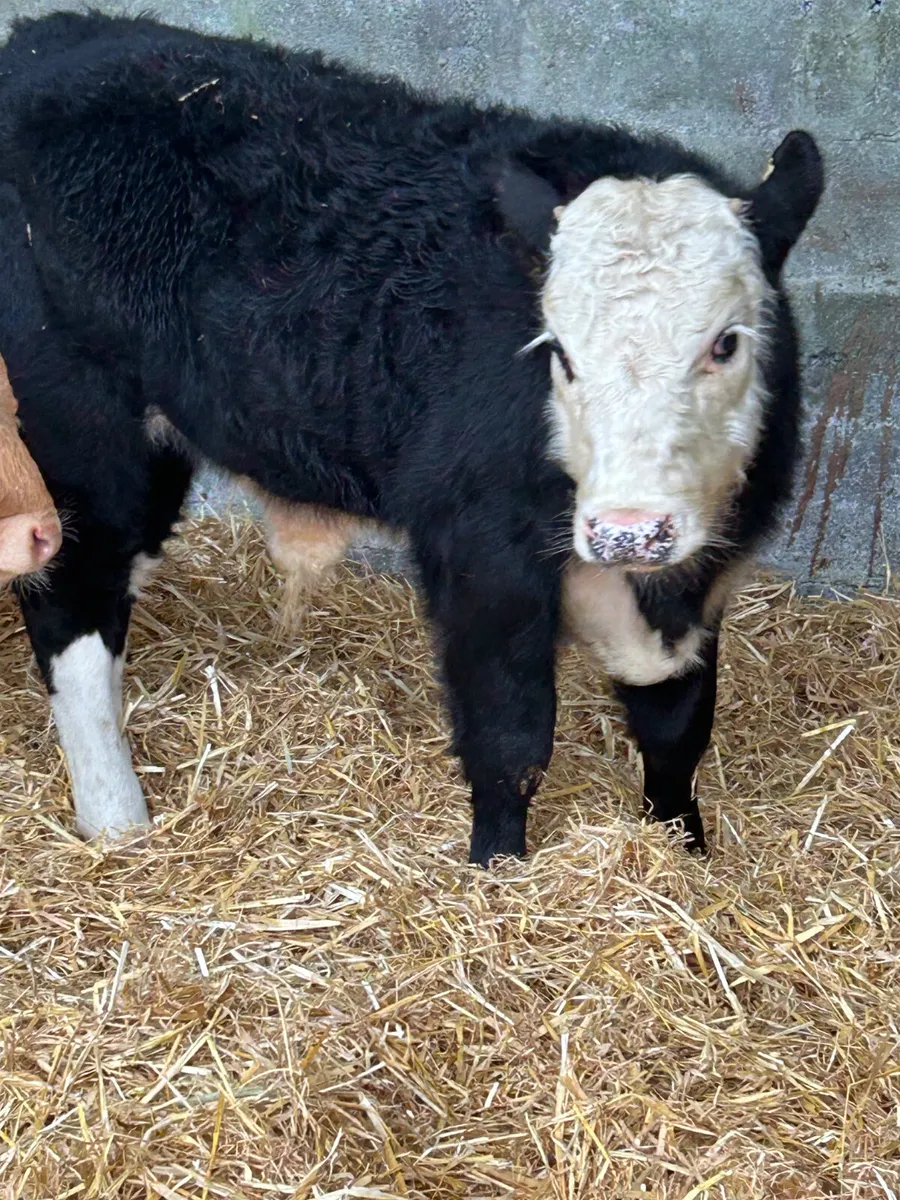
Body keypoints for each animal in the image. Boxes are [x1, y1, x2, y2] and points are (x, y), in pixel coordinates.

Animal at [0, 11, 823, 864]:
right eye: (559, 351)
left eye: (727, 343)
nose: (629, 531)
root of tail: (47, 34)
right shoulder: (480, 557)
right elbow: (510, 736)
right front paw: (498, 868)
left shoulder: (699, 590)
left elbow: (676, 727)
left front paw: (682, 850)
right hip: (79, 440)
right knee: (74, 604)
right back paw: (117, 820)